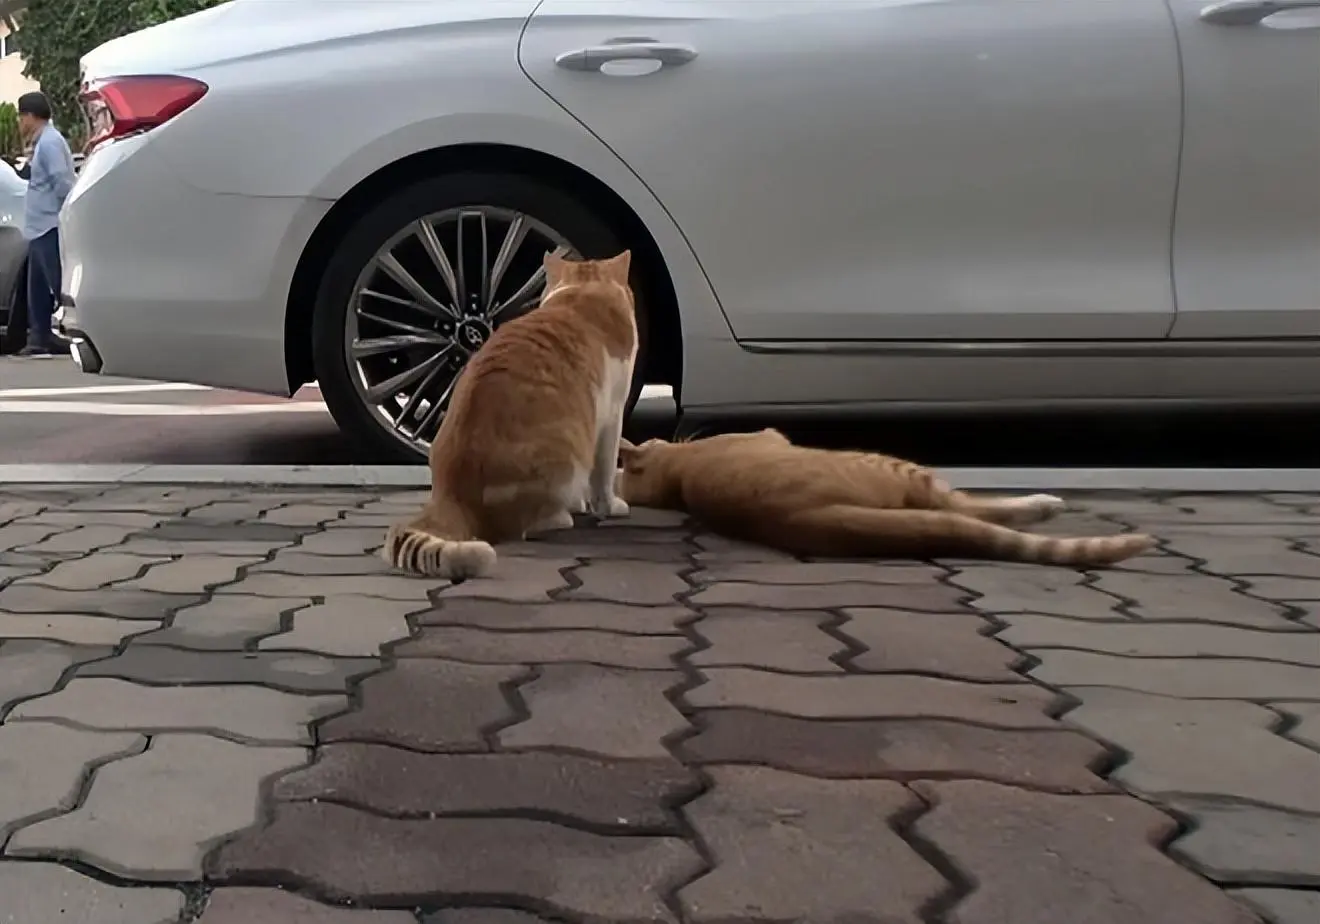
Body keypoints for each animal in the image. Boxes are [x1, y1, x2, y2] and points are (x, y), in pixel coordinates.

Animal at [382, 246, 638, 578]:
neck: (583, 289)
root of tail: (452, 493)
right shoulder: (611, 416)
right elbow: (604, 472)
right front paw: (608, 506)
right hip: (565, 455)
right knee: (526, 525)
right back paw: (559, 517)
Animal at [617, 430, 1156, 567]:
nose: (673, 437)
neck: (679, 477)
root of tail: (802, 516)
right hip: (897, 466)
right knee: (963, 506)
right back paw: (1041, 504)